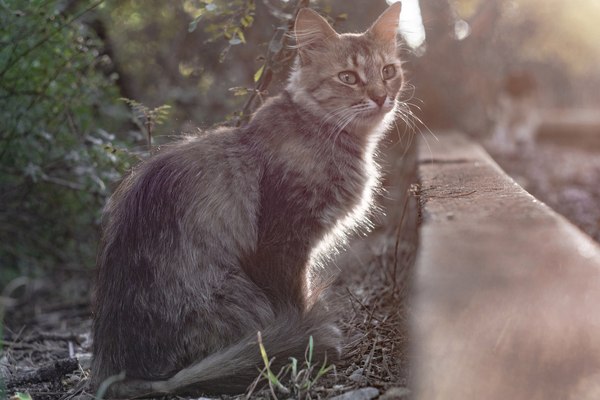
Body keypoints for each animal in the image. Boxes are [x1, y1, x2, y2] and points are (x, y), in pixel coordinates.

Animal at [91, 3, 406, 396]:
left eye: (388, 71)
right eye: (348, 77)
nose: (381, 96)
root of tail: (116, 370)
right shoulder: (284, 243)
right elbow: (299, 301)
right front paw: (309, 342)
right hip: (237, 293)